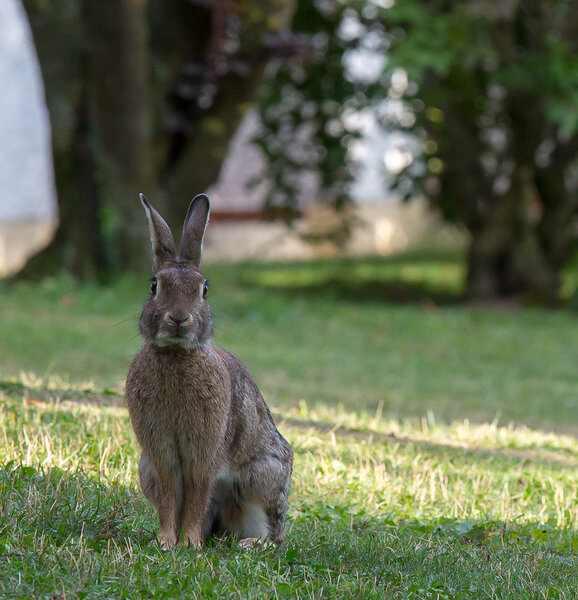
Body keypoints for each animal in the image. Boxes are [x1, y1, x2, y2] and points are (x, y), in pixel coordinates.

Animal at [123, 195, 290, 552]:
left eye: (204, 289)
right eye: (154, 285)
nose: (178, 318)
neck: (175, 355)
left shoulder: (205, 452)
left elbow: (198, 491)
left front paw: (189, 543)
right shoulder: (161, 455)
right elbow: (171, 497)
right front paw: (166, 541)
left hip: (263, 475)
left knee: (274, 532)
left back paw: (251, 544)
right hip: (145, 469)